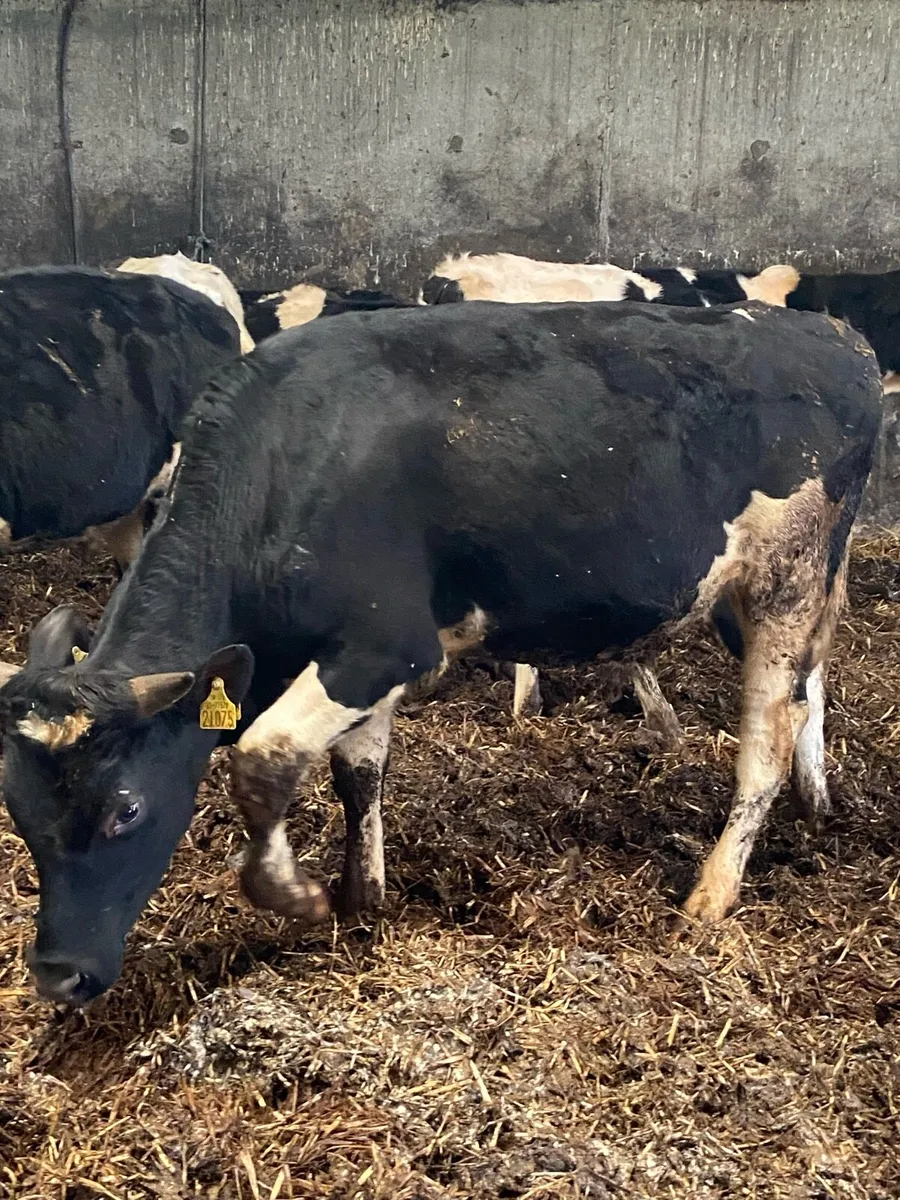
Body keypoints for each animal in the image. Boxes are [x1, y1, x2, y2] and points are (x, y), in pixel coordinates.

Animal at [0, 298, 881, 1006]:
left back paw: (712, 893)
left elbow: (263, 760)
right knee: (810, 687)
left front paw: (296, 896)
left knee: (767, 732)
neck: (285, 469)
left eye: (126, 809)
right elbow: (358, 774)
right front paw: (365, 899)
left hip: (785, 577)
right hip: (777, 590)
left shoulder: (389, 647)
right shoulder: (360, 662)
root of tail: (832, 333)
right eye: (19, 813)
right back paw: (815, 802)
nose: (57, 976)